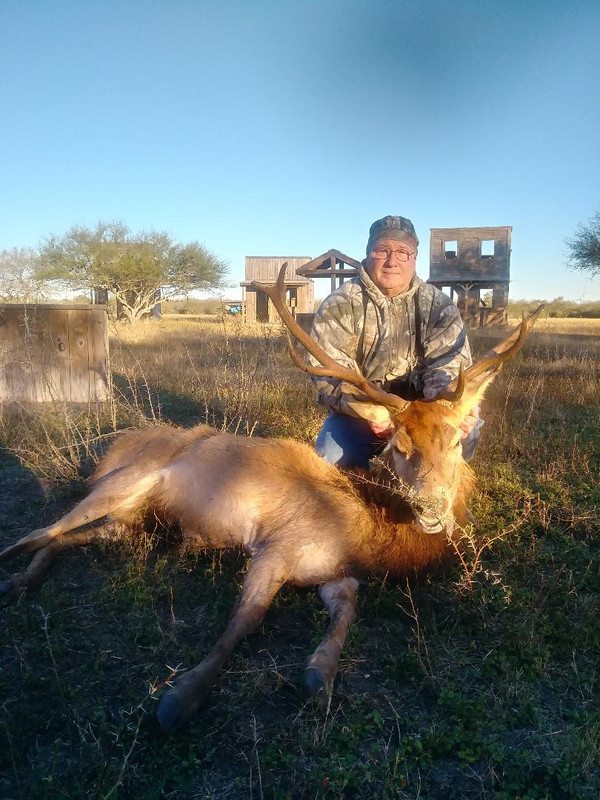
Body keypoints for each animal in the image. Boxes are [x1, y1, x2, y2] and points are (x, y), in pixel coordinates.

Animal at [0, 265, 543, 733]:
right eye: (397, 446)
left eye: (454, 441)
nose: (430, 507)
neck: (365, 537)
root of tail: (114, 449)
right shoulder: (277, 545)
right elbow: (245, 620)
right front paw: (180, 697)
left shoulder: (337, 575)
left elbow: (348, 613)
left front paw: (319, 675)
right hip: (125, 482)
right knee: (40, 530)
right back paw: (11, 573)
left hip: (131, 521)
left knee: (64, 538)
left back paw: (24, 581)